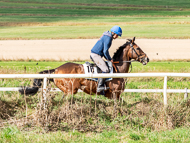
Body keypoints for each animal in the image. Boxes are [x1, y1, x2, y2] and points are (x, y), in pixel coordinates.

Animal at [19, 37, 150, 99]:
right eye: (138, 48)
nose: (147, 59)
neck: (118, 70)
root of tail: (56, 69)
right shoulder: (114, 94)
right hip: (71, 90)